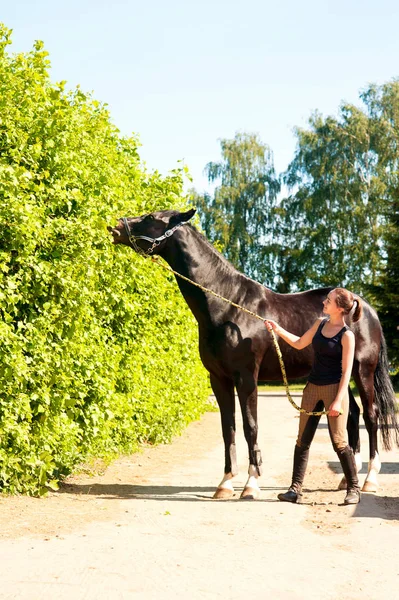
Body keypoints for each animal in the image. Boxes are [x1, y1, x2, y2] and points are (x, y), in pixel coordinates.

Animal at [108, 209, 399, 500]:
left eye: (150, 217)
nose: (116, 227)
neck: (228, 307)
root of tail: (365, 308)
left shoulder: (247, 377)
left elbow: (251, 426)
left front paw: (251, 483)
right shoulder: (219, 379)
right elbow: (228, 428)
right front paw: (225, 483)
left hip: (362, 370)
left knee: (371, 416)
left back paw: (369, 480)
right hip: (341, 375)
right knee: (351, 415)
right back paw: (345, 480)